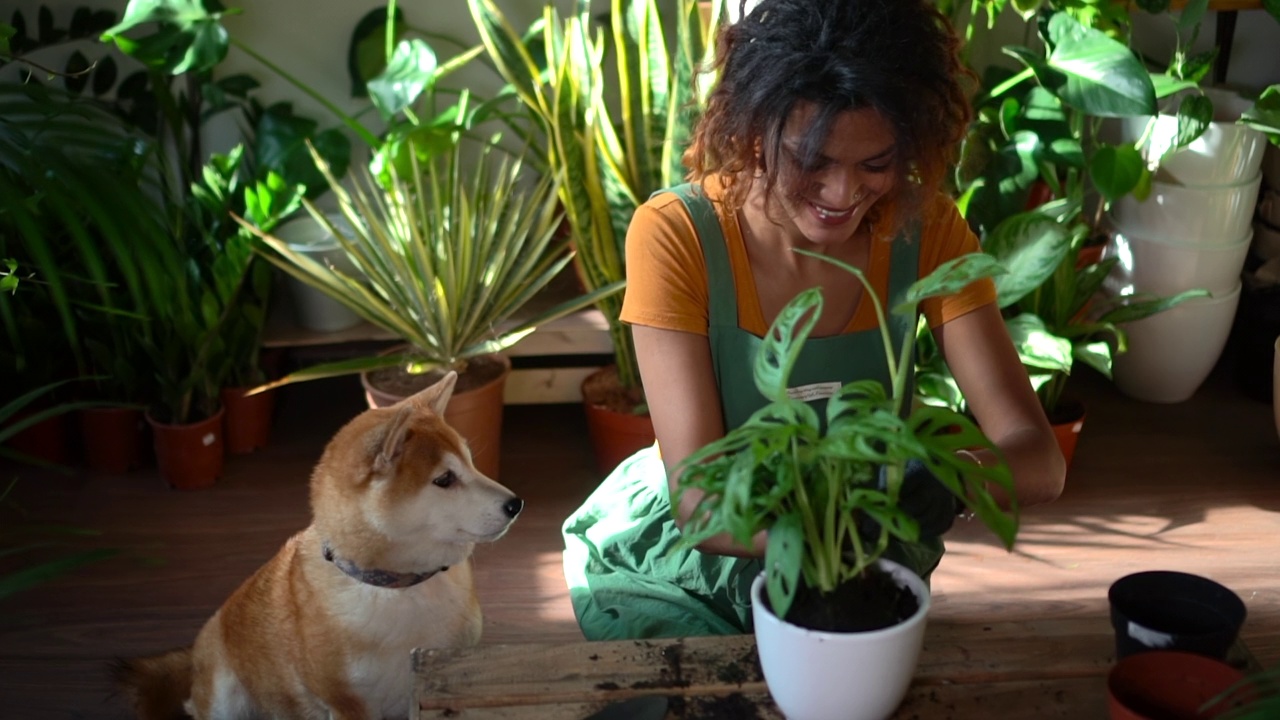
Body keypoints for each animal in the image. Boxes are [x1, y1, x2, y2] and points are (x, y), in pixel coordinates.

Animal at [112, 368, 522, 717]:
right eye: (444, 479)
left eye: (471, 463)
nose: (515, 503)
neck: (399, 588)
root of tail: (196, 651)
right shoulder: (348, 705)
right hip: (225, 695)